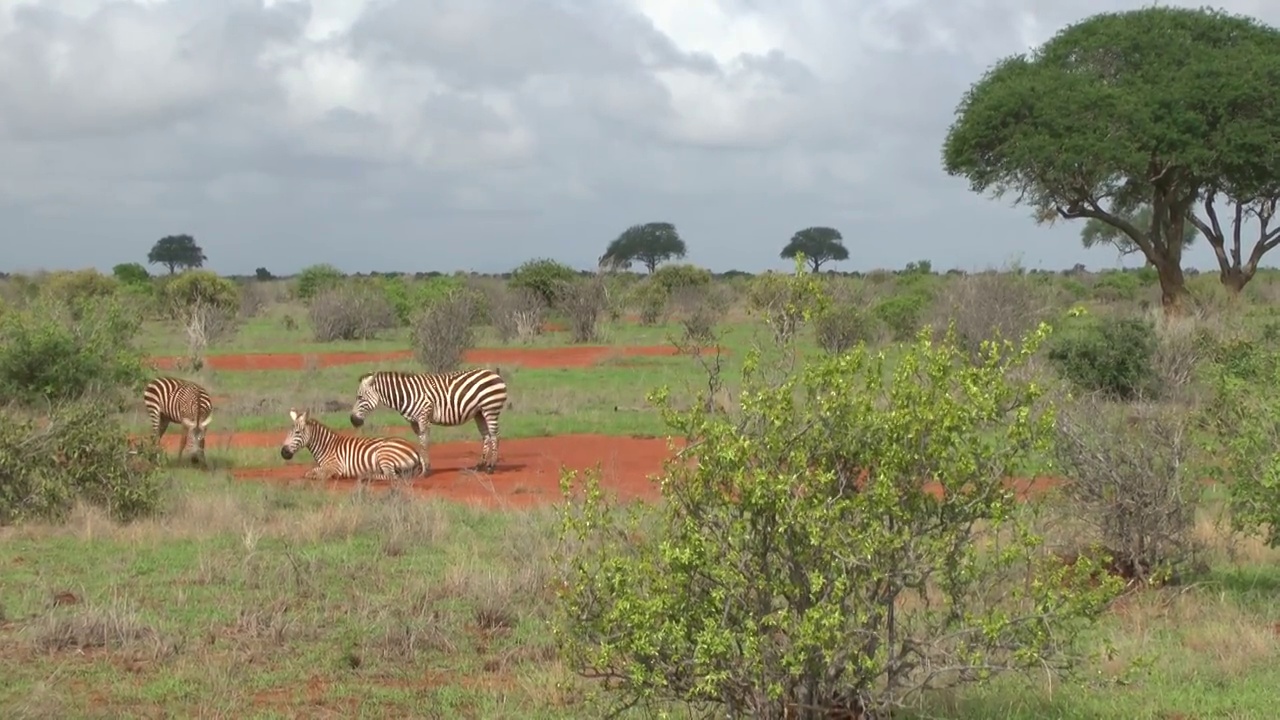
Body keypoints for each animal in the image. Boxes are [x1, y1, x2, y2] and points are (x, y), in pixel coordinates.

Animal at [280, 407, 424, 484]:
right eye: (288, 432)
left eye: (297, 432)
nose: (283, 452)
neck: (326, 446)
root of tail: (414, 450)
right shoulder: (323, 466)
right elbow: (308, 472)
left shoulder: (335, 467)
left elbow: (318, 476)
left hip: (385, 455)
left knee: (392, 477)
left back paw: (366, 476)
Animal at [353, 366, 512, 474]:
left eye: (359, 397)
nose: (353, 420)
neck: (407, 395)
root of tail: (493, 373)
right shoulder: (414, 422)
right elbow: (420, 442)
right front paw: (421, 467)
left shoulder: (423, 417)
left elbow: (424, 443)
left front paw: (425, 470)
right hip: (479, 413)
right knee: (486, 436)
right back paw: (480, 465)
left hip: (491, 409)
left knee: (495, 436)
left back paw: (491, 467)